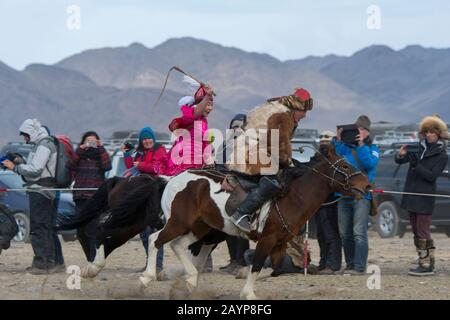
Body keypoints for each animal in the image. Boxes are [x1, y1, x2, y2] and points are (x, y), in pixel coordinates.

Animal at [140, 146, 370, 300]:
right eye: (345, 165)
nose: (367, 185)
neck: (292, 197)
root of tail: (172, 179)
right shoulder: (267, 239)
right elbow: (258, 265)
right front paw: (248, 293)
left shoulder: (280, 243)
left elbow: (274, 269)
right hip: (179, 222)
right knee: (155, 239)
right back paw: (147, 278)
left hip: (200, 227)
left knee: (178, 245)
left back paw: (190, 280)